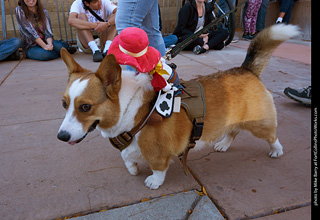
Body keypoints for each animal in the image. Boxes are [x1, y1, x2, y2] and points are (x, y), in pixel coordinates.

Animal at [57, 24, 300, 189]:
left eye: (85, 107)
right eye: (64, 104)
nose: (61, 137)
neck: (128, 109)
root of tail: (246, 69)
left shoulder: (157, 152)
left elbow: (157, 167)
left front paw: (153, 181)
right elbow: (127, 157)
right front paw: (133, 168)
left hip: (260, 124)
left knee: (271, 136)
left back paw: (276, 151)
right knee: (233, 131)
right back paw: (223, 145)